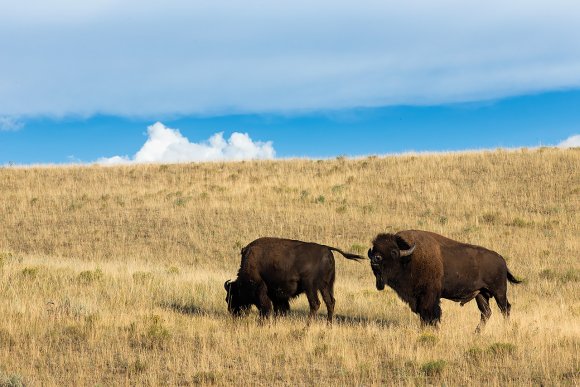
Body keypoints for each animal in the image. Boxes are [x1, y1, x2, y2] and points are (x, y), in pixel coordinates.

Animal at [223, 238, 362, 322]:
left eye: (231, 296)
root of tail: (327, 249)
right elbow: (280, 308)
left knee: (315, 304)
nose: (232, 312)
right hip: (326, 286)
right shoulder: (277, 295)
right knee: (330, 302)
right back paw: (328, 325)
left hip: (310, 286)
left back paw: (307, 326)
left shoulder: (262, 290)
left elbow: (266, 307)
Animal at [368, 230, 520, 334]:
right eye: (375, 249)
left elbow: (430, 314)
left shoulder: (429, 296)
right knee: (486, 312)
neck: (409, 259)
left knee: (505, 308)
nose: (375, 259)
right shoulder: (417, 298)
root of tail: (501, 259)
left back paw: (505, 329)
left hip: (499, 292)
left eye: (393, 251)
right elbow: (423, 315)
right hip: (480, 294)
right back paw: (476, 332)